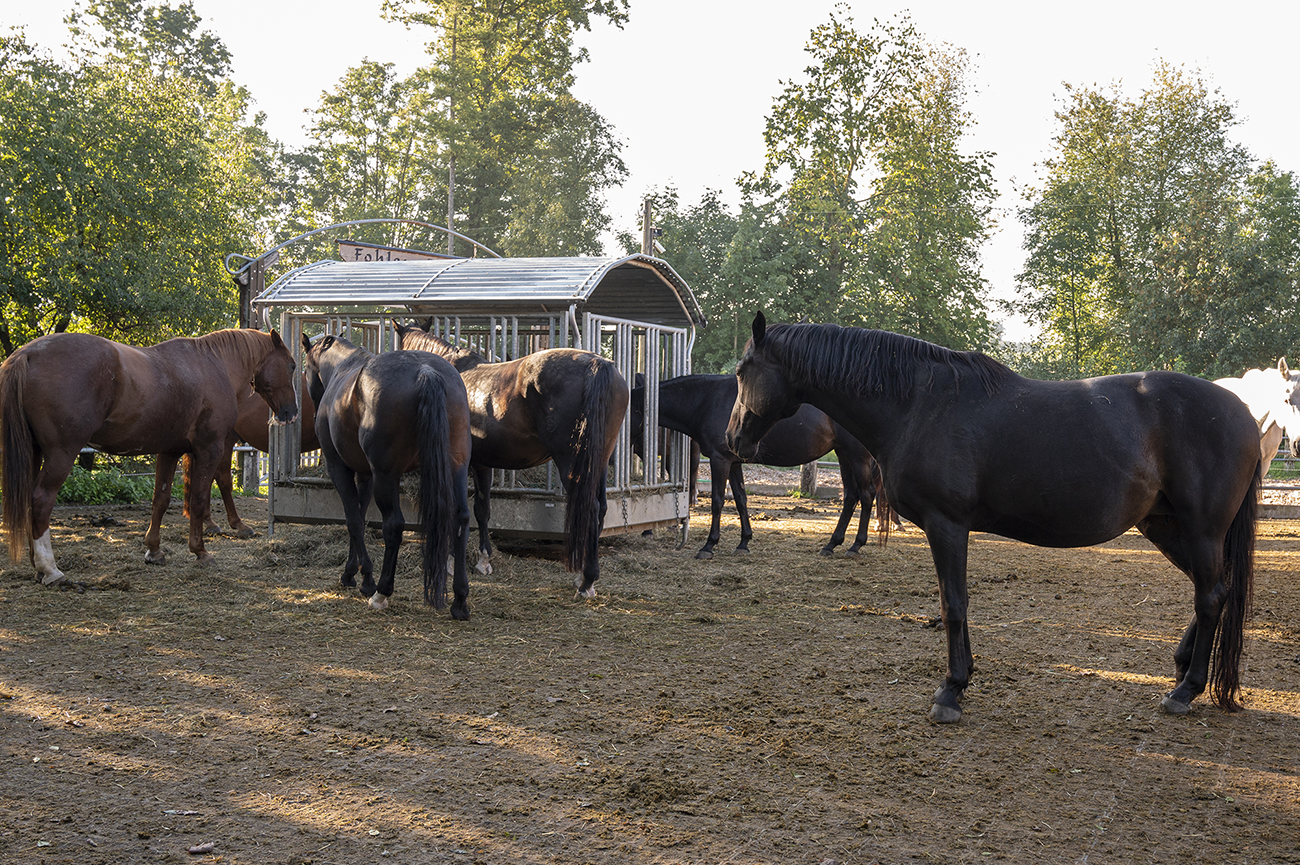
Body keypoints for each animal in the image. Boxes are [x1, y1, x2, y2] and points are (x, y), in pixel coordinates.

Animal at [0, 327, 297, 582]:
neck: (215, 364)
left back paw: (36, 565)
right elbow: (199, 499)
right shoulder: (209, 449)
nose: (291, 412)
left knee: (30, 500)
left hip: (35, 453)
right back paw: (50, 569)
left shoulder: (169, 451)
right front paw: (200, 551)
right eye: (292, 365)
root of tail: (26, 354)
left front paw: (154, 551)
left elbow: (161, 500)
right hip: (61, 453)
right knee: (41, 499)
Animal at [301, 331, 475, 621]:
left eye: (306, 370)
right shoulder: (365, 475)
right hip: (457, 466)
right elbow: (360, 517)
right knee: (460, 517)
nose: (313, 408)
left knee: (394, 525)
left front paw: (366, 579)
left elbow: (353, 521)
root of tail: (426, 371)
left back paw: (382, 592)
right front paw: (351, 573)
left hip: (387, 476)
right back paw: (460, 600)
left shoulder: (340, 469)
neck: (343, 368)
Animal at [392, 319, 626, 598]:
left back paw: (586, 582)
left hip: (572, 463)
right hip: (598, 462)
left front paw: (450, 560)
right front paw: (483, 560)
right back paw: (584, 576)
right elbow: (482, 510)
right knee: (600, 509)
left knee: (590, 507)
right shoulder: (482, 463)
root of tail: (597, 365)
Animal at [629, 372, 894, 559]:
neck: (707, 400)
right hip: (843, 454)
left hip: (857, 455)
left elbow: (717, 501)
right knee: (850, 496)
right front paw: (744, 542)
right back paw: (831, 544)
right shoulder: (733, 462)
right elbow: (740, 499)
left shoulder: (719, 459)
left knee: (867, 495)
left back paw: (855, 546)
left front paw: (709, 545)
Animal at [722, 312, 1258, 723]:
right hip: (1165, 526)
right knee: (1214, 590)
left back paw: (1185, 690)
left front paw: (951, 691)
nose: (732, 439)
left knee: (1210, 596)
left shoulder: (947, 525)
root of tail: (1244, 413)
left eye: (743, 370)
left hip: (1201, 529)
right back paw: (1182, 668)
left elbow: (953, 605)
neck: (918, 405)